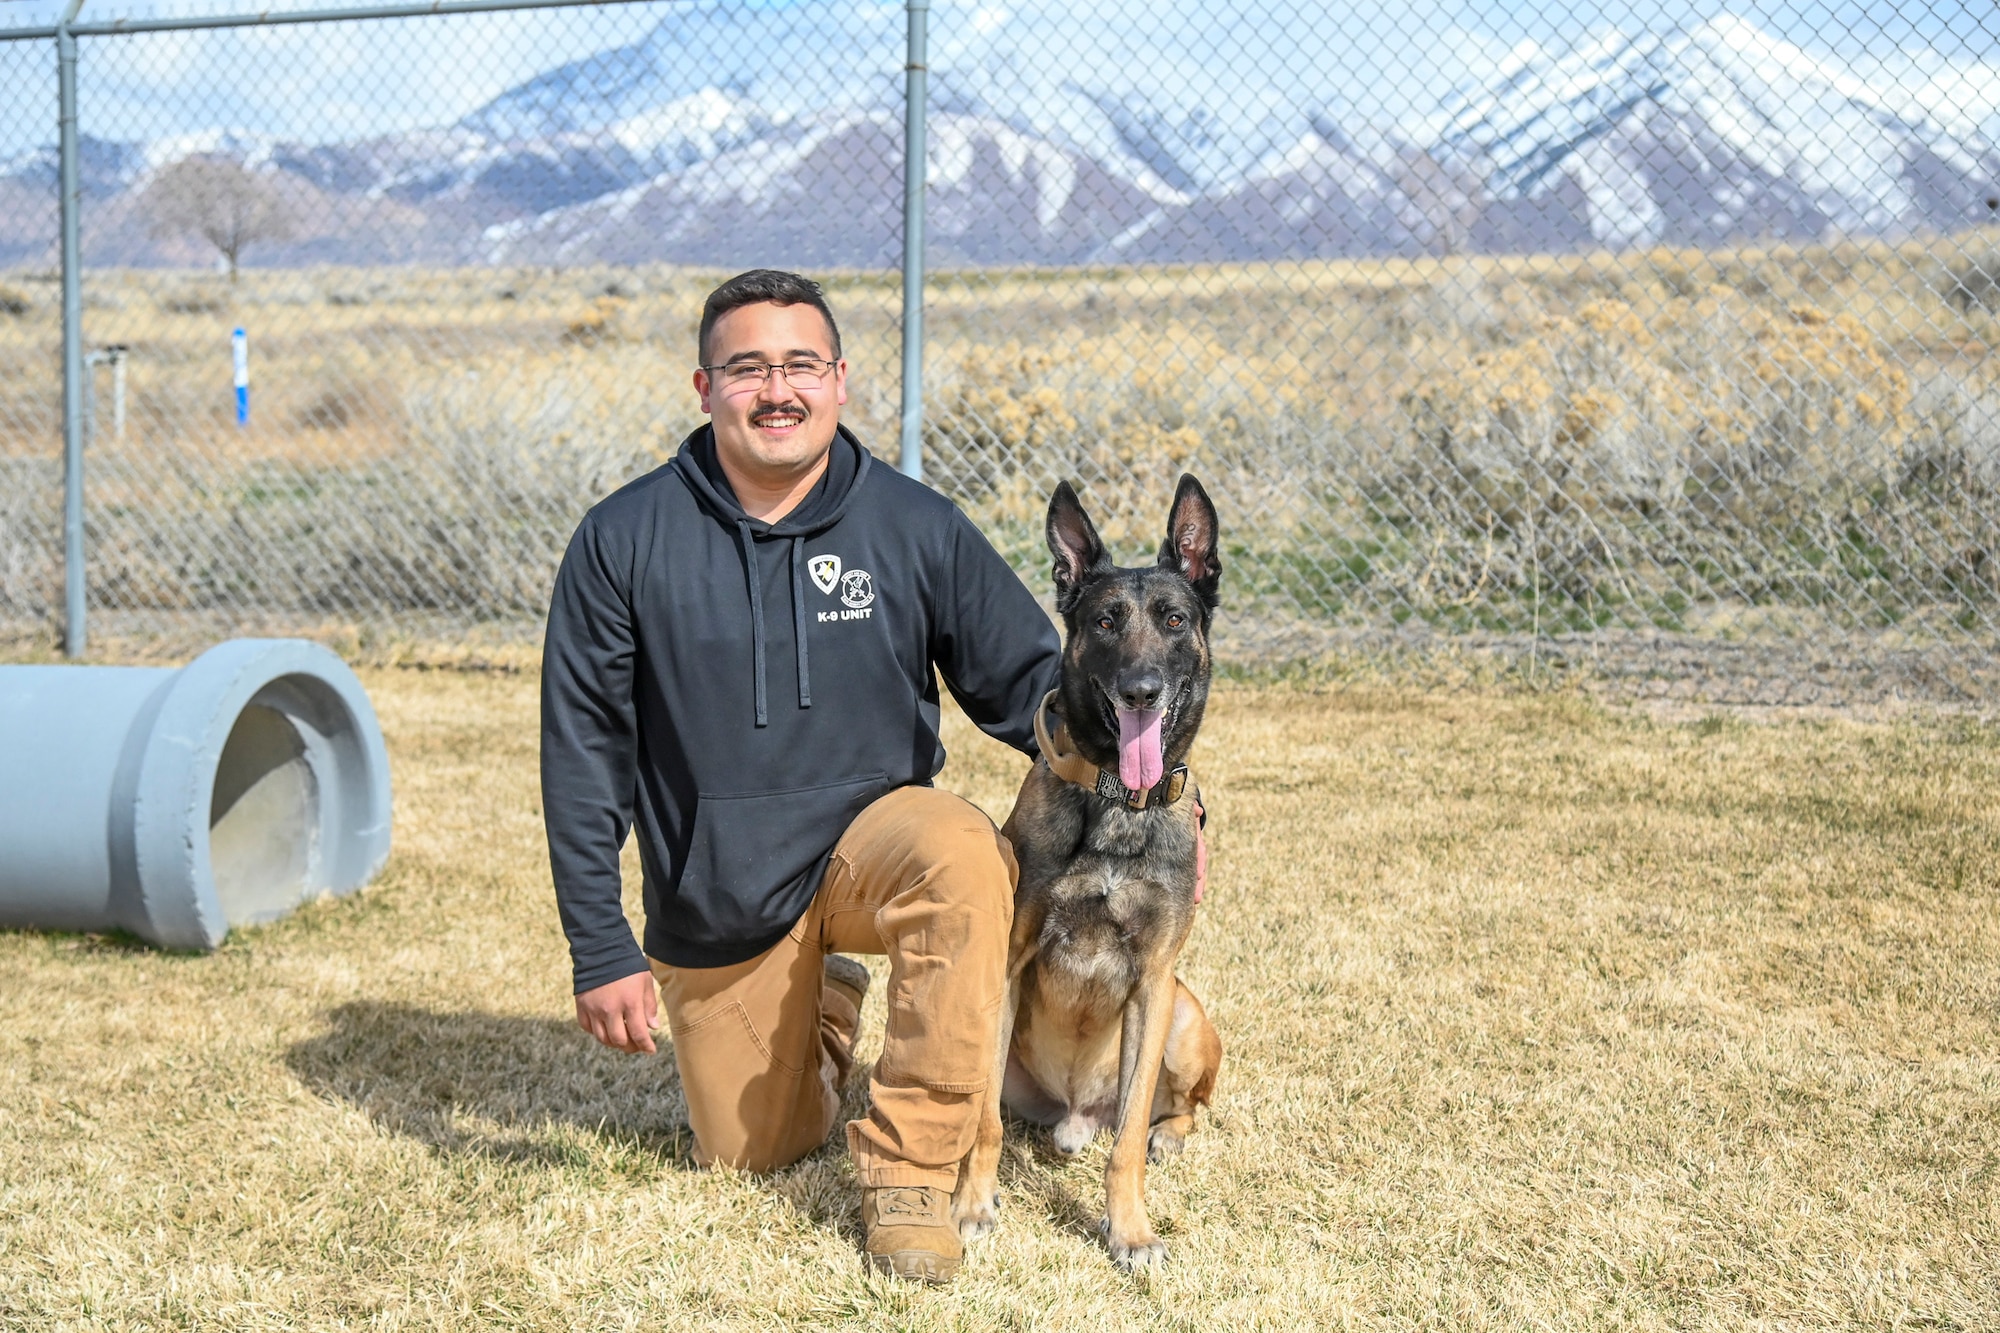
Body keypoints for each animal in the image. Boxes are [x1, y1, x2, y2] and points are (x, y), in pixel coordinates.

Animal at [948, 470, 1216, 1264]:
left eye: (1173, 620)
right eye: (1103, 622)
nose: (1141, 689)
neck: (1117, 802)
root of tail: (1074, 1114)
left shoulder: (1154, 982)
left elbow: (1125, 1142)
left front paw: (1129, 1230)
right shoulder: (1006, 964)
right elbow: (983, 1120)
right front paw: (972, 1205)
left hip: (1185, 1012)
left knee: (1180, 1108)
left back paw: (1168, 1136)